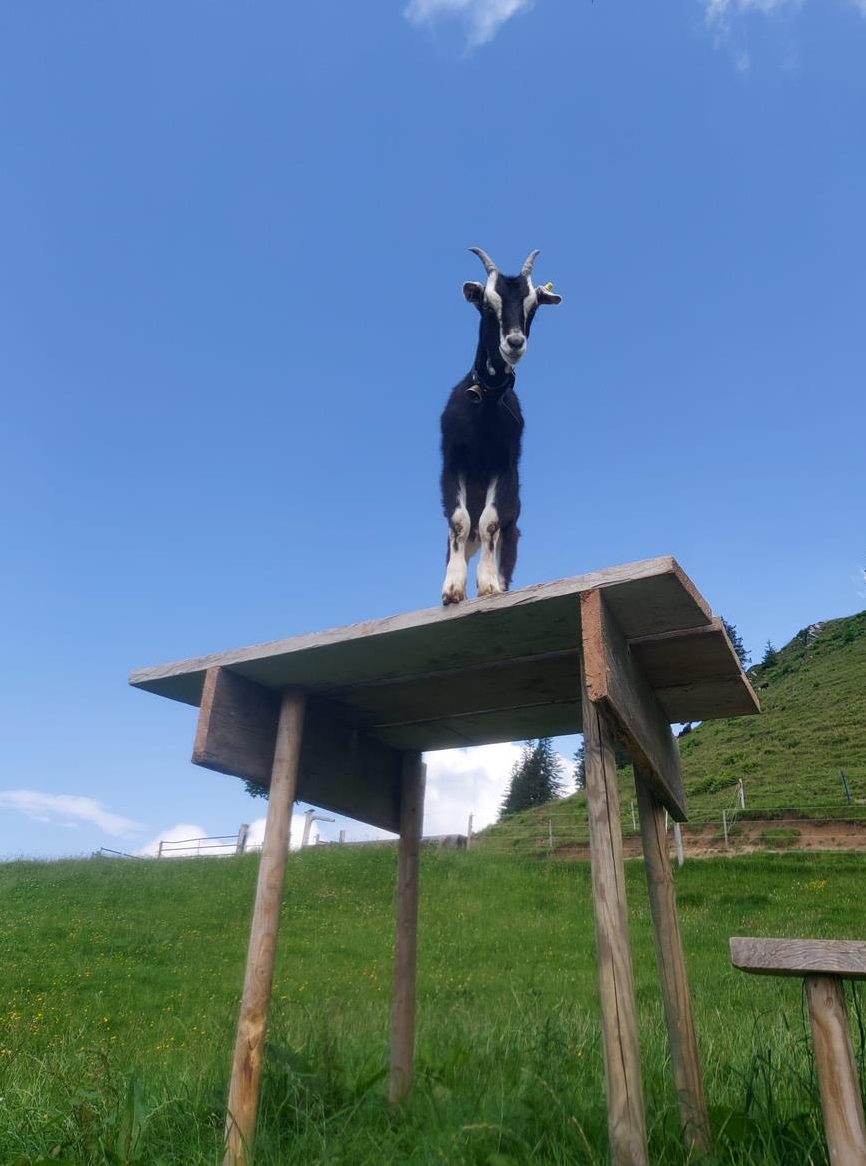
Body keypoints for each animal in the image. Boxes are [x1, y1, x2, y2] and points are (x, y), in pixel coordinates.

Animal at [440, 247, 562, 605]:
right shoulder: (453, 463)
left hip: (514, 531)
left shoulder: (503, 466)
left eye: (533, 306)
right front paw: (452, 588)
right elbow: (460, 521)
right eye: (485, 304)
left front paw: (488, 584)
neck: (486, 406)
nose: (514, 342)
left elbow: (488, 522)